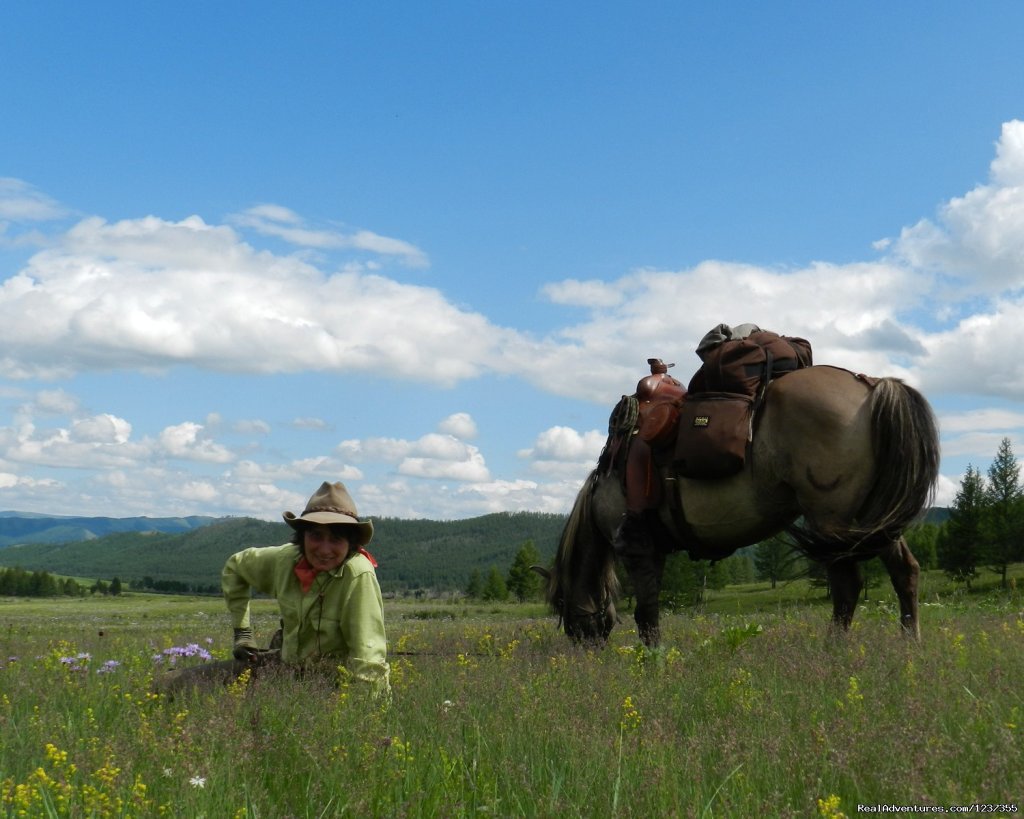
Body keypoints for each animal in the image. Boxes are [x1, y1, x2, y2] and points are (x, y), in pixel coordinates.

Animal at [540, 364, 937, 647]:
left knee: (847, 586)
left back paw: (833, 649)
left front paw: (653, 660)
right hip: (873, 521)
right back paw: (909, 643)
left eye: (560, 604)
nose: (583, 646)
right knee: (905, 572)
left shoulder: (635, 547)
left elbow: (646, 613)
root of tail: (873, 386)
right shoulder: (657, 549)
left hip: (832, 520)